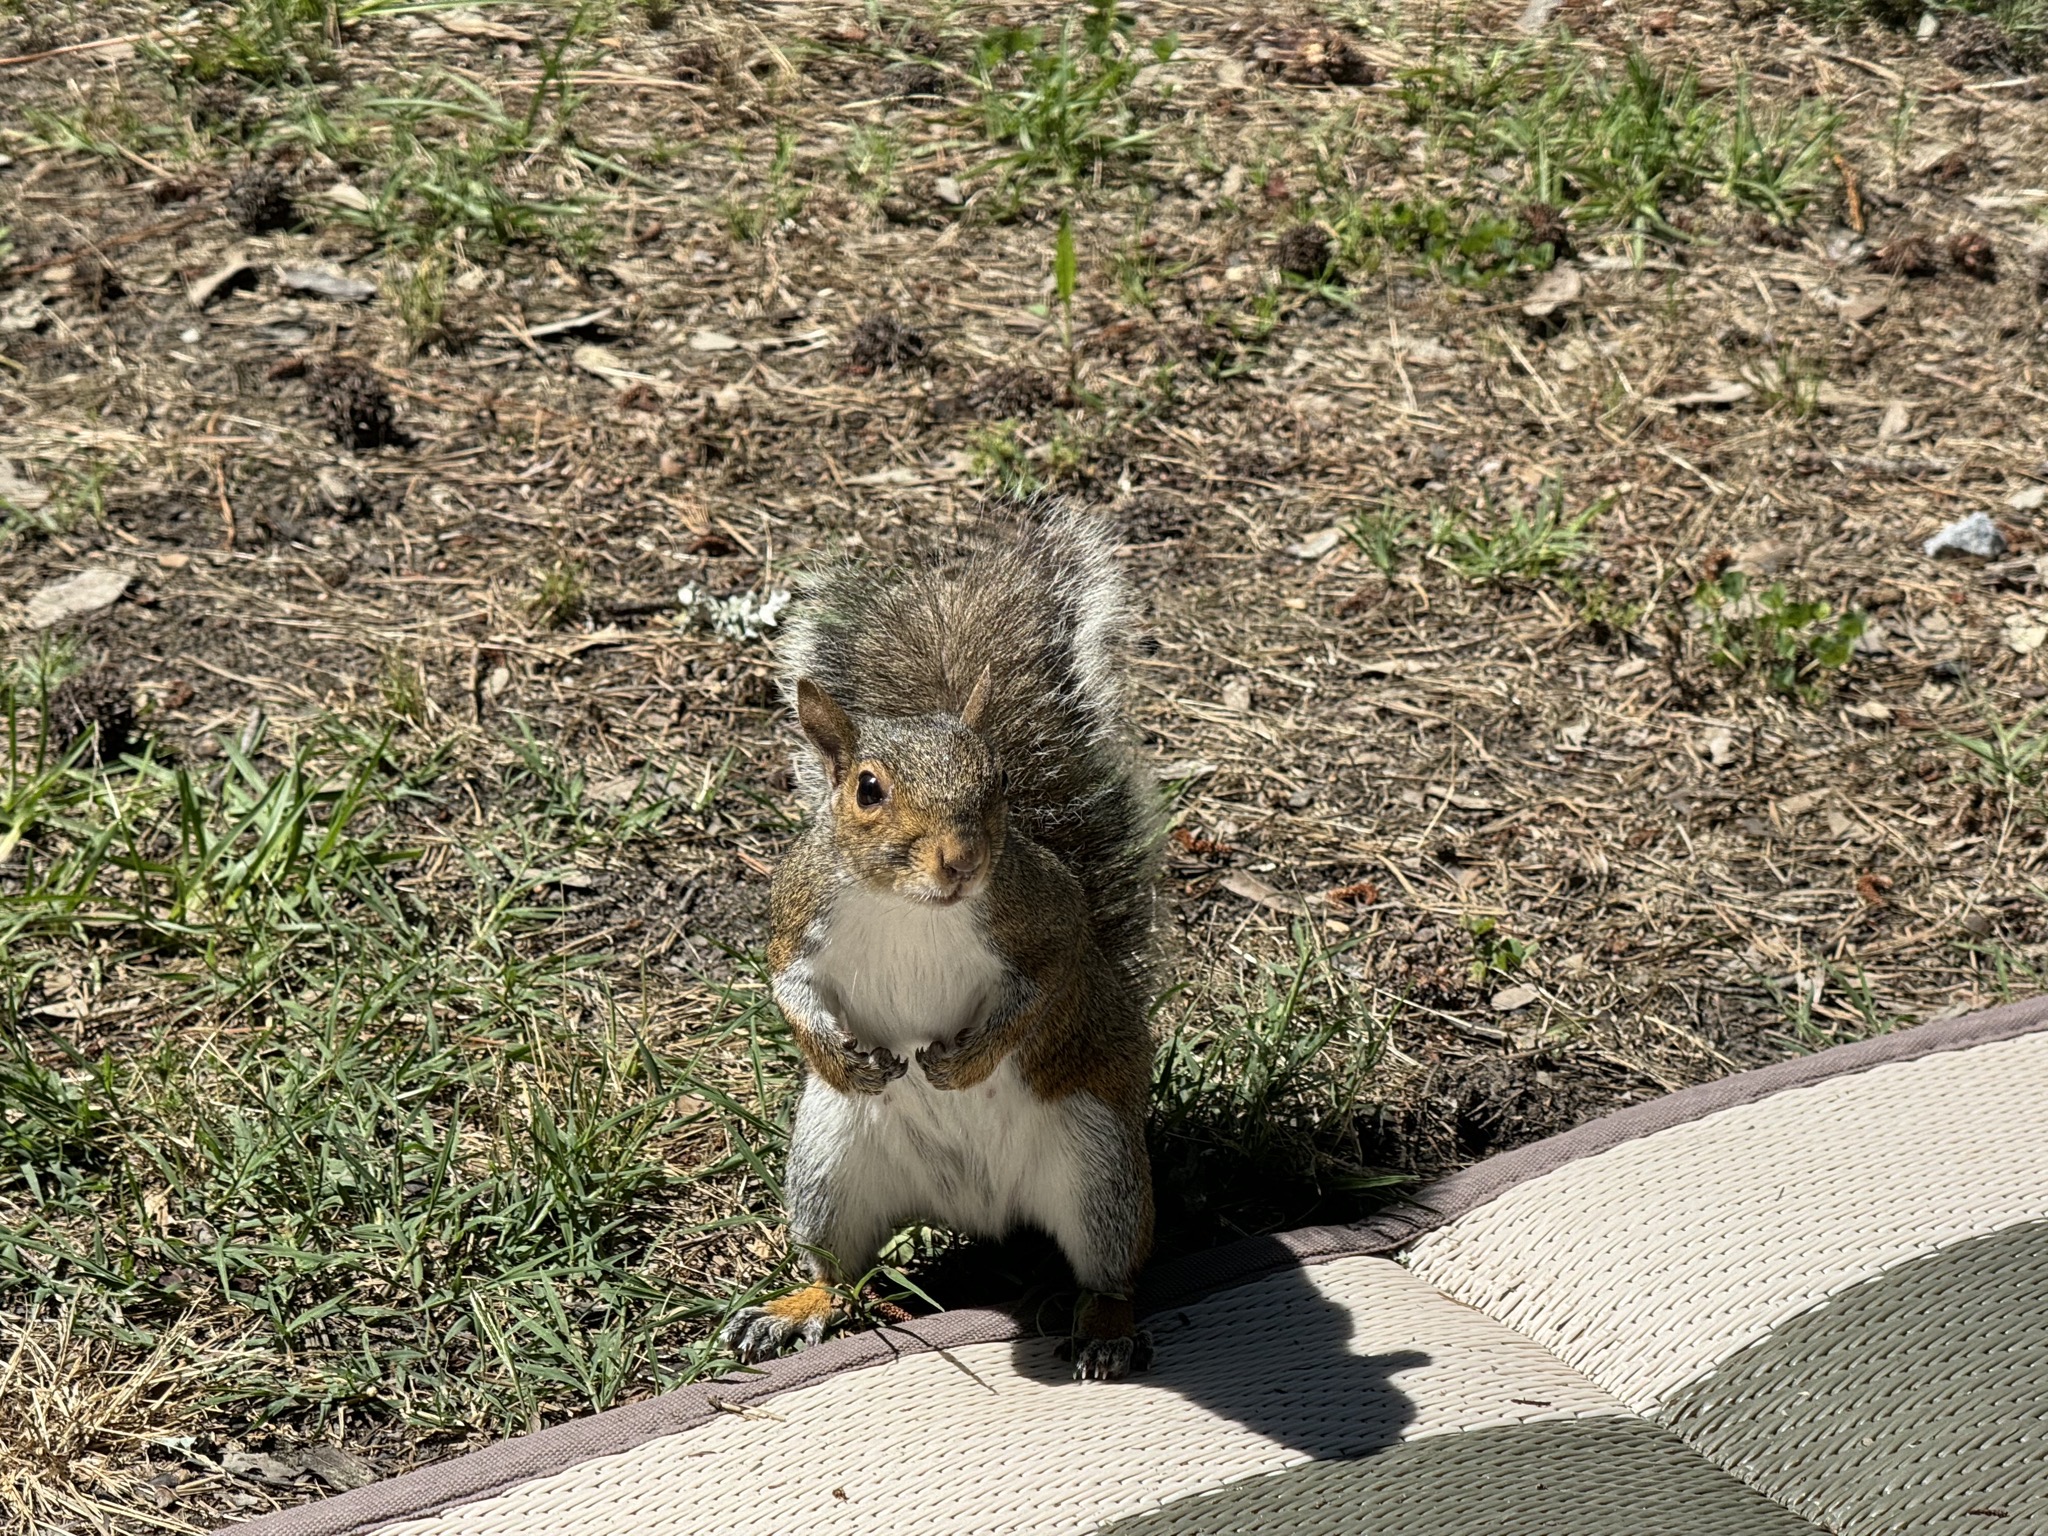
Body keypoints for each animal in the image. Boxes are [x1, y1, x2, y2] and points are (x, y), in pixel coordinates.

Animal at [720, 505, 1163, 1381]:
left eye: (999, 784)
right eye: (868, 789)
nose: (960, 860)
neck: (910, 907)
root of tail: (979, 1210)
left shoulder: (1047, 918)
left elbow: (1044, 990)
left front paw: (965, 1062)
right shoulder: (797, 916)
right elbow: (787, 987)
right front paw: (841, 1056)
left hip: (1100, 1166)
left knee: (1111, 1267)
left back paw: (1103, 1327)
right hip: (829, 1166)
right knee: (839, 1270)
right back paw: (794, 1308)